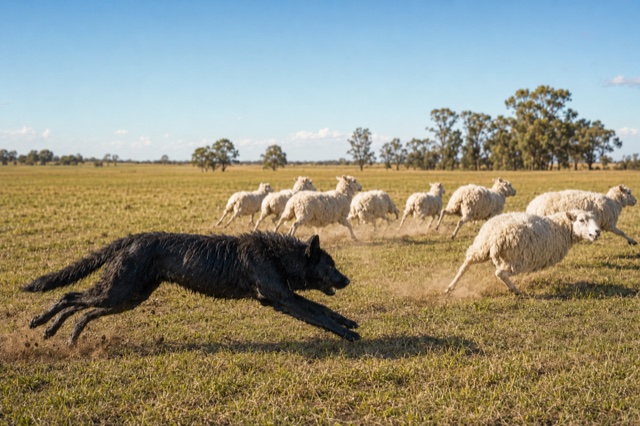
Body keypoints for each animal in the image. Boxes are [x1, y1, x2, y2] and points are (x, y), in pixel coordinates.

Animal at [445, 210, 601, 295]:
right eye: (581, 220)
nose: (597, 232)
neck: (560, 228)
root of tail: (494, 237)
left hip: (481, 248)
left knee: (465, 265)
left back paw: (450, 287)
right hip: (518, 260)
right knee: (500, 273)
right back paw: (515, 290)